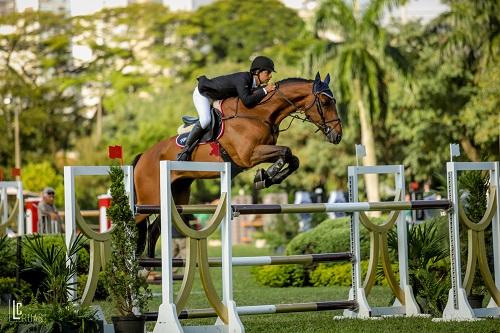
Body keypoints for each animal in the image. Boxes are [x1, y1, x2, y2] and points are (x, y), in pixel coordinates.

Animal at [133, 72, 344, 254]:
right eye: (325, 102)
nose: (338, 136)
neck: (259, 113)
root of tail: (143, 156)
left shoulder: (261, 151)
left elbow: (293, 158)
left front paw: (267, 177)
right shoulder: (248, 155)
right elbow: (286, 151)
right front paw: (266, 174)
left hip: (176, 198)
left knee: (153, 231)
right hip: (150, 200)